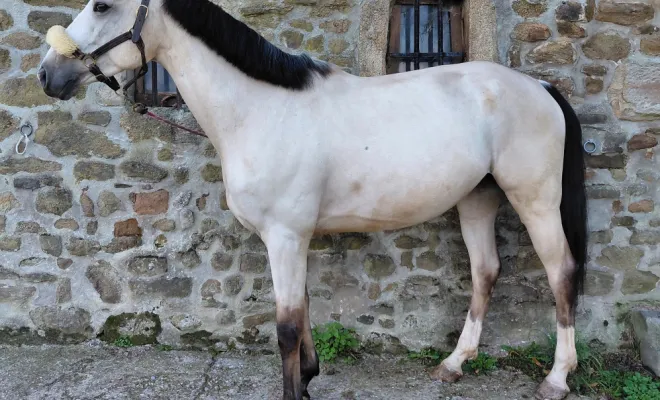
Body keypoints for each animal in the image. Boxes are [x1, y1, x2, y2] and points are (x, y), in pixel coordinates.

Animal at [38, 0, 588, 399]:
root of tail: (539, 86)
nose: (48, 75)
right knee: (484, 272)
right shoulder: (292, 238)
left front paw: (296, 388)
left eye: (102, 5)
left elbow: (284, 326)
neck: (262, 109)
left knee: (560, 273)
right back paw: (453, 364)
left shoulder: (284, 236)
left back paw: (557, 379)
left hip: (536, 200)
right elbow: (300, 313)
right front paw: (307, 377)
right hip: (477, 199)